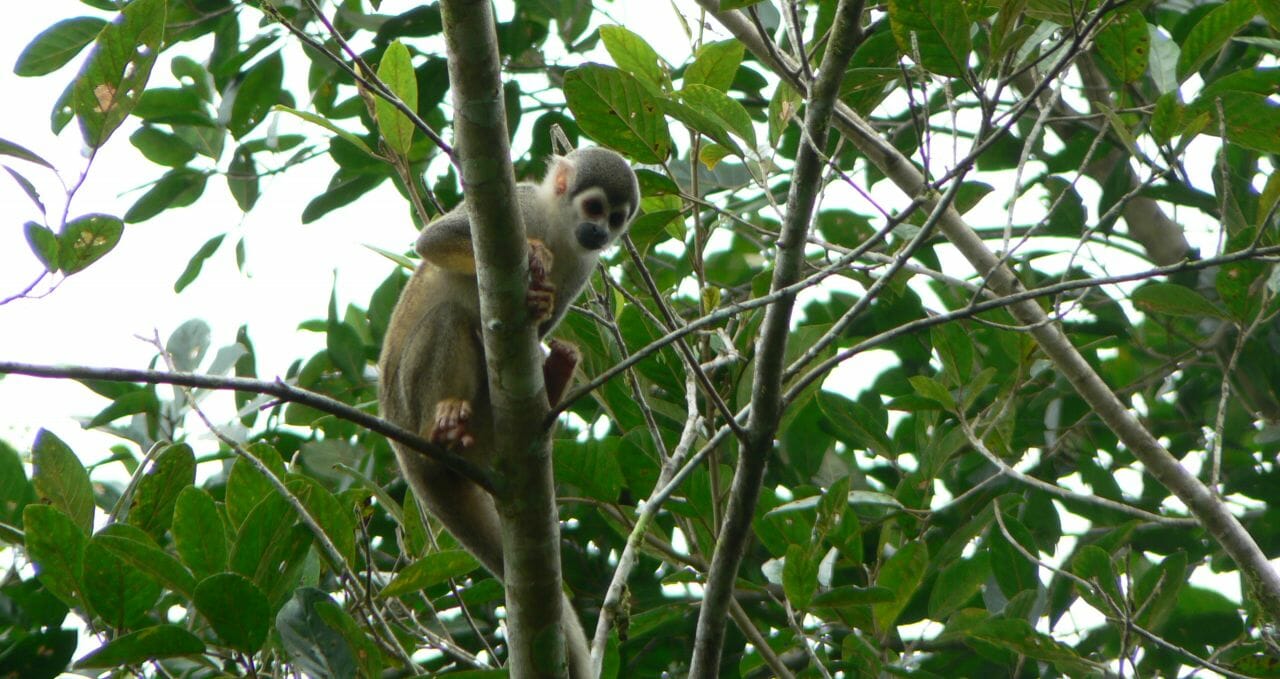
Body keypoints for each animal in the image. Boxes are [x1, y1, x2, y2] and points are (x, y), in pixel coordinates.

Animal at [376, 146, 640, 671]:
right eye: (595, 208)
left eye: (617, 219)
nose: (600, 234)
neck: (560, 227)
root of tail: (407, 455)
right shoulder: (518, 206)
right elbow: (434, 241)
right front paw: (535, 255)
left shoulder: (583, 266)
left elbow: (545, 320)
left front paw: (543, 305)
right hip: (407, 403)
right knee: (450, 318)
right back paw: (443, 421)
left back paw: (554, 378)